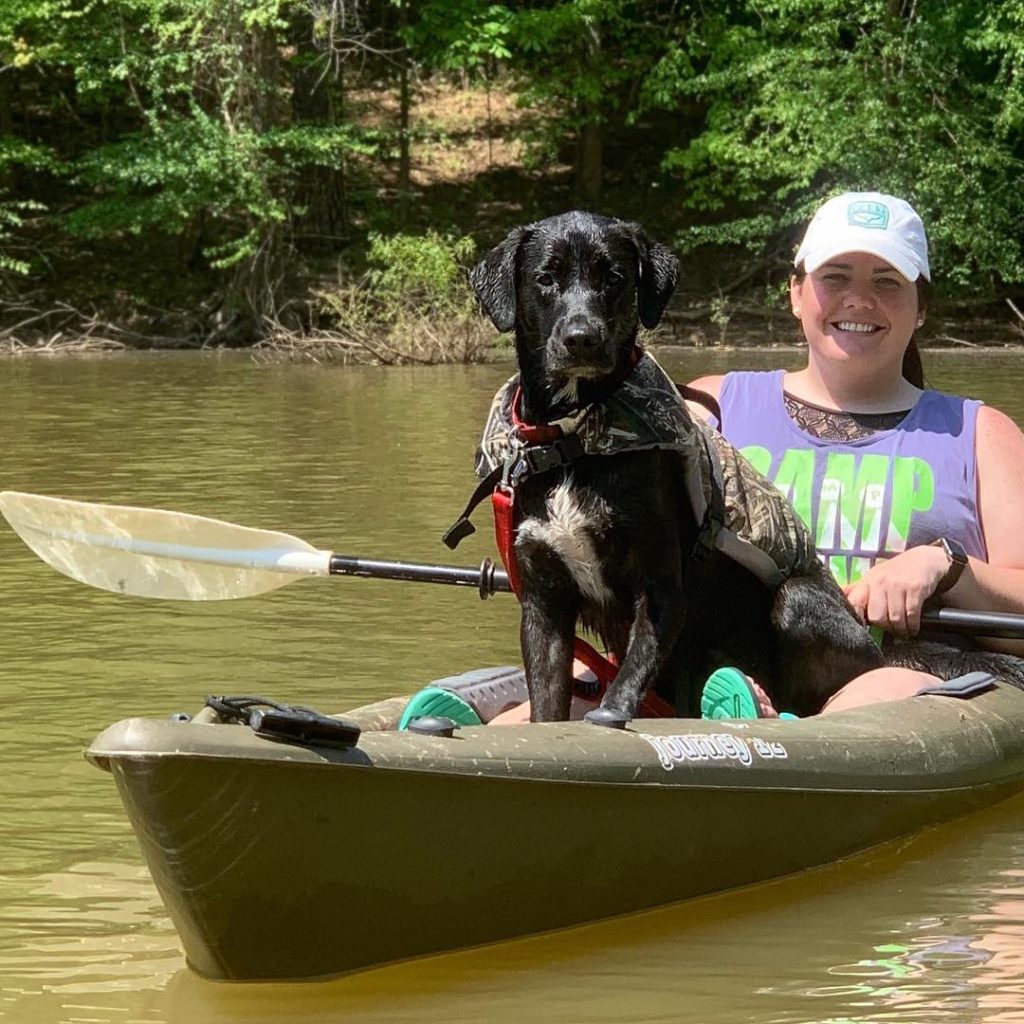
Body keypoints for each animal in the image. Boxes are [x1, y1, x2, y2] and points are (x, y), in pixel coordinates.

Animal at [460, 209, 892, 720]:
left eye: (614, 278)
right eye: (546, 277)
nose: (581, 339)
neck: (576, 437)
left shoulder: (661, 588)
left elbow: (622, 690)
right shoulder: (544, 603)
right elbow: (546, 706)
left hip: (798, 602)